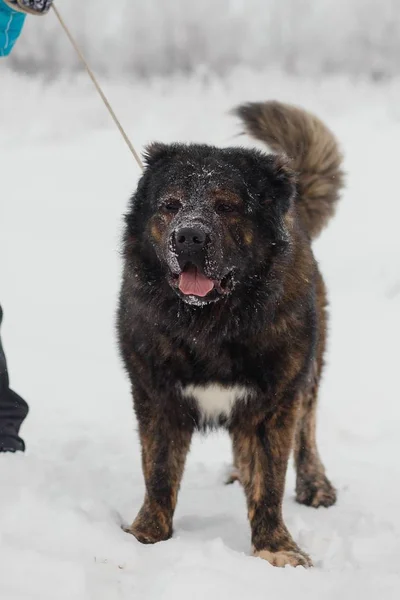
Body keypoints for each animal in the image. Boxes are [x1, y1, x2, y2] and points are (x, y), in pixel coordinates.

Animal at [118, 102, 344, 568]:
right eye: (170, 205)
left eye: (225, 207)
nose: (189, 236)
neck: (211, 324)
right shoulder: (157, 395)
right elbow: (159, 472)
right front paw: (147, 535)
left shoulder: (274, 402)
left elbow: (271, 482)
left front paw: (276, 547)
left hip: (309, 371)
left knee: (307, 427)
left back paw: (314, 483)